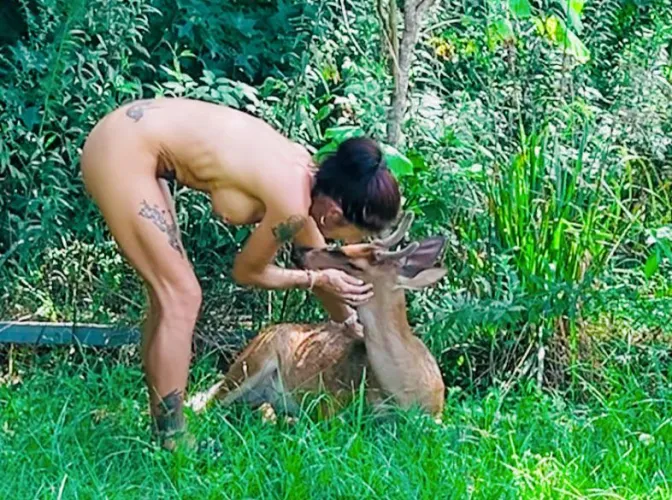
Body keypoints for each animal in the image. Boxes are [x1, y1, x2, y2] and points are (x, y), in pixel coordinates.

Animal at [186, 212, 448, 422]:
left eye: (354, 264)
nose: (299, 251)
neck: (404, 390)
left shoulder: (437, 416)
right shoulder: (332, 403)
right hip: (250, 363)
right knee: (206, 406)